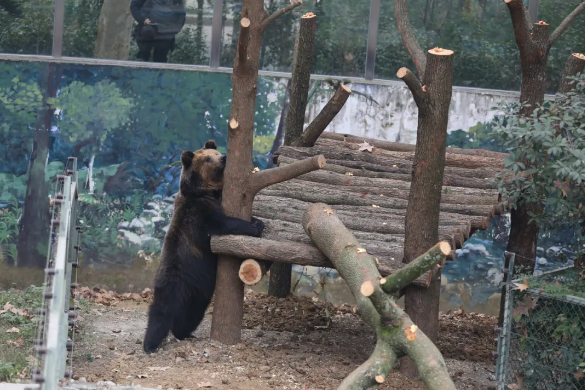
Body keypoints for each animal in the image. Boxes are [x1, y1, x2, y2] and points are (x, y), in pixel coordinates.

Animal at [144, 140, 264, 354]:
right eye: (208, 158)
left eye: (216, 152)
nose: (224, 157)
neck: (206, 192)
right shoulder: (197, 214)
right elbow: (222, 225)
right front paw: (254, 227)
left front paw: (258, 221)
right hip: (175, 277)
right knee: (162, 310)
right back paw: (150, 343)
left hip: (200, 289)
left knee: (192, 313)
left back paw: (183, 332)